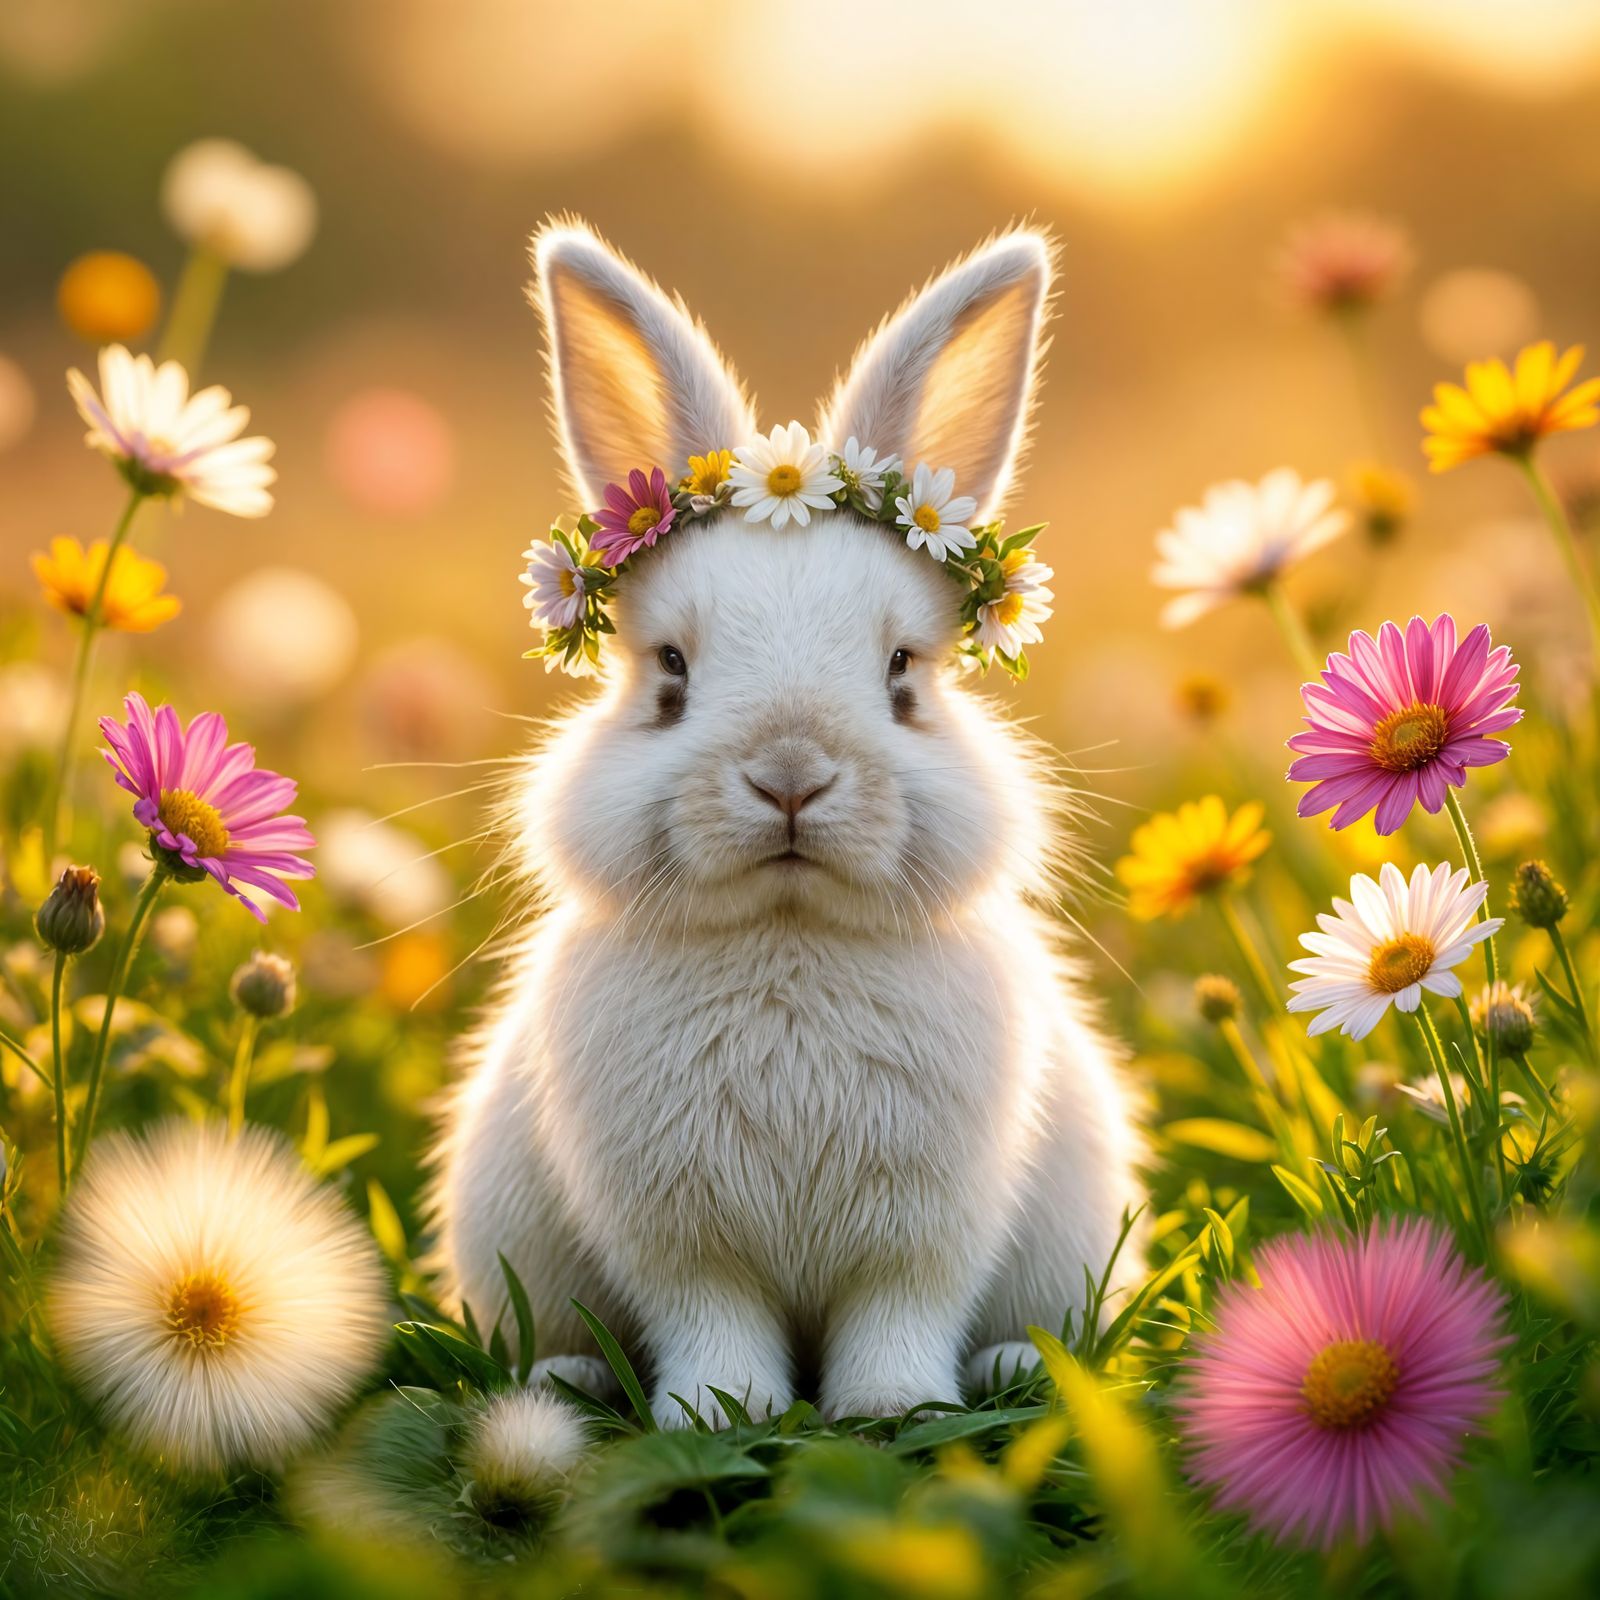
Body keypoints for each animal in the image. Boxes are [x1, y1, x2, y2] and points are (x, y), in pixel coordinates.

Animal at [430, 218, 1145, 1428]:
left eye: (903, 672)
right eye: (670, 672)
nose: (792, 777)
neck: (789, 932)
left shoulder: (923, 1232)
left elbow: (897, 1313)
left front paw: (892, 1409)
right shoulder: (681, 1241)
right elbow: (712, 1319)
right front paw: (725, 1413)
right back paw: (566, 1381)